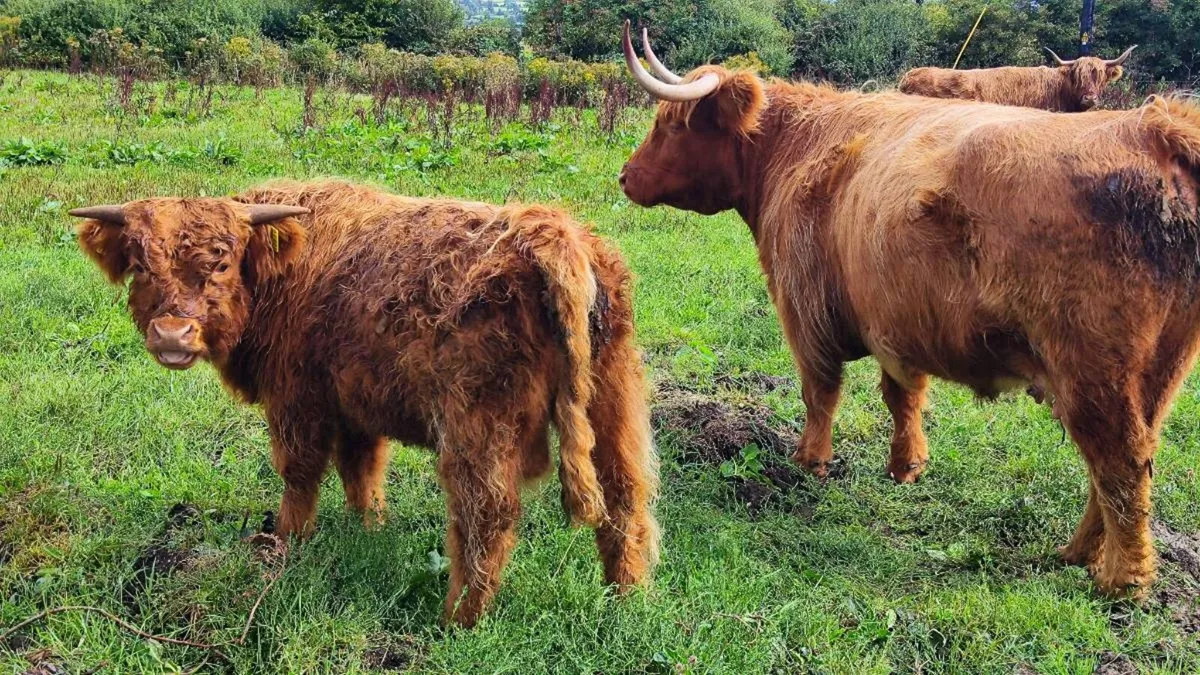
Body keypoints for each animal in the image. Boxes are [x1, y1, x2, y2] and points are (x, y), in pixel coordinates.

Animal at [70, 179, 659, 627]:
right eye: (141, 265)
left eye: (220, 264)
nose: (172, 334)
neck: (281, 273)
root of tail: (552, 230)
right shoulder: (357, 405)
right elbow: (362, 472)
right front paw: (368, 530)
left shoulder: (297, 397)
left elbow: (299, 472)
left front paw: (286, 541)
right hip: (613, 400)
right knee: (626, 495)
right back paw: (627, 599)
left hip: (477, 422)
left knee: (486, 514)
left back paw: (456, 620)